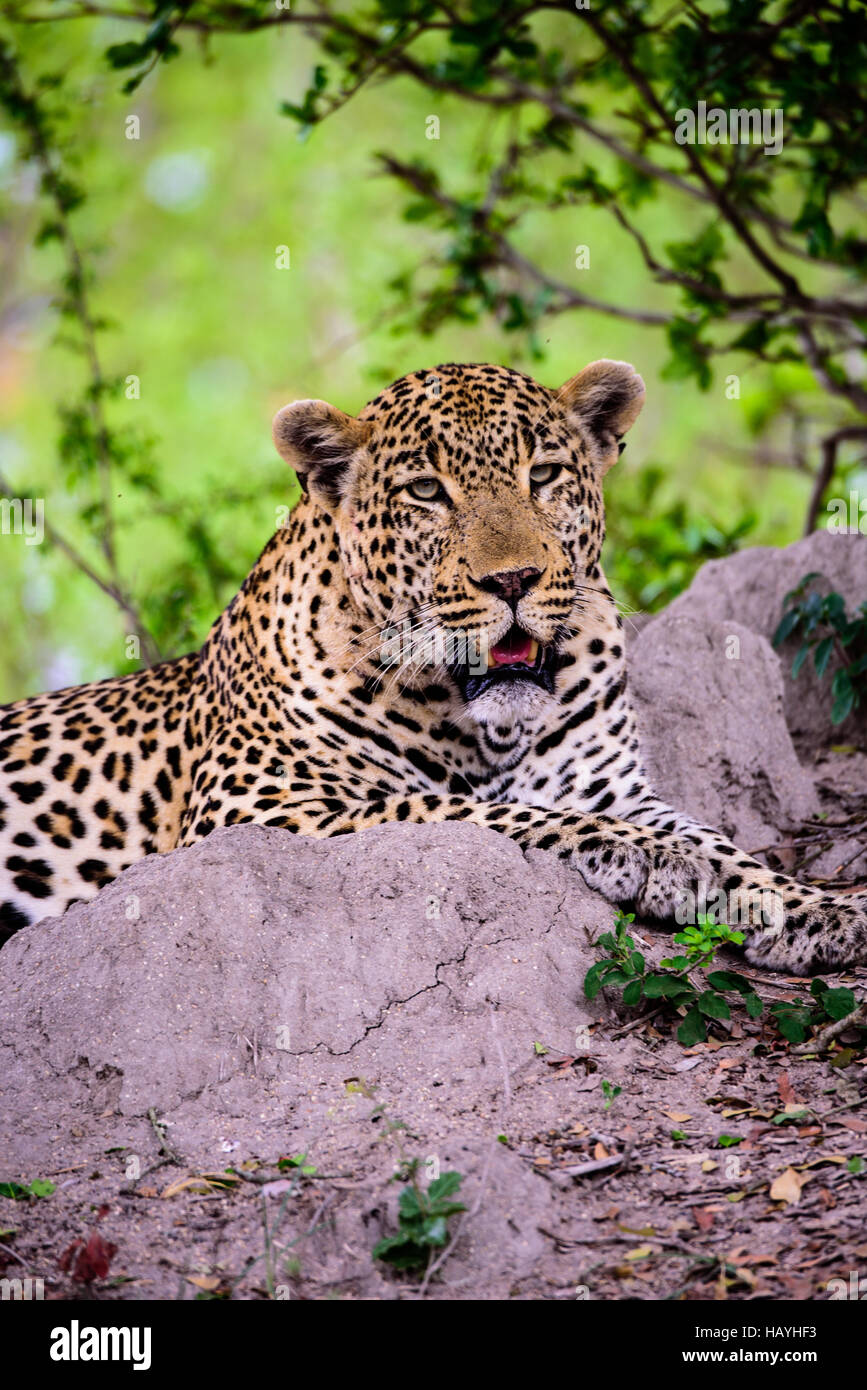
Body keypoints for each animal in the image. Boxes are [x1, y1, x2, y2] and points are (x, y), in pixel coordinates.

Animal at [1, 358, 867, 973]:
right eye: (425, 491)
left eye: (543, 475)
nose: (513, 580)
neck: (484, 726)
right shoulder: (260, 808)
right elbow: (471, 811)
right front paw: (653, 858)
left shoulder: (615, 786)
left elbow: (723, 842)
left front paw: (805, 907)